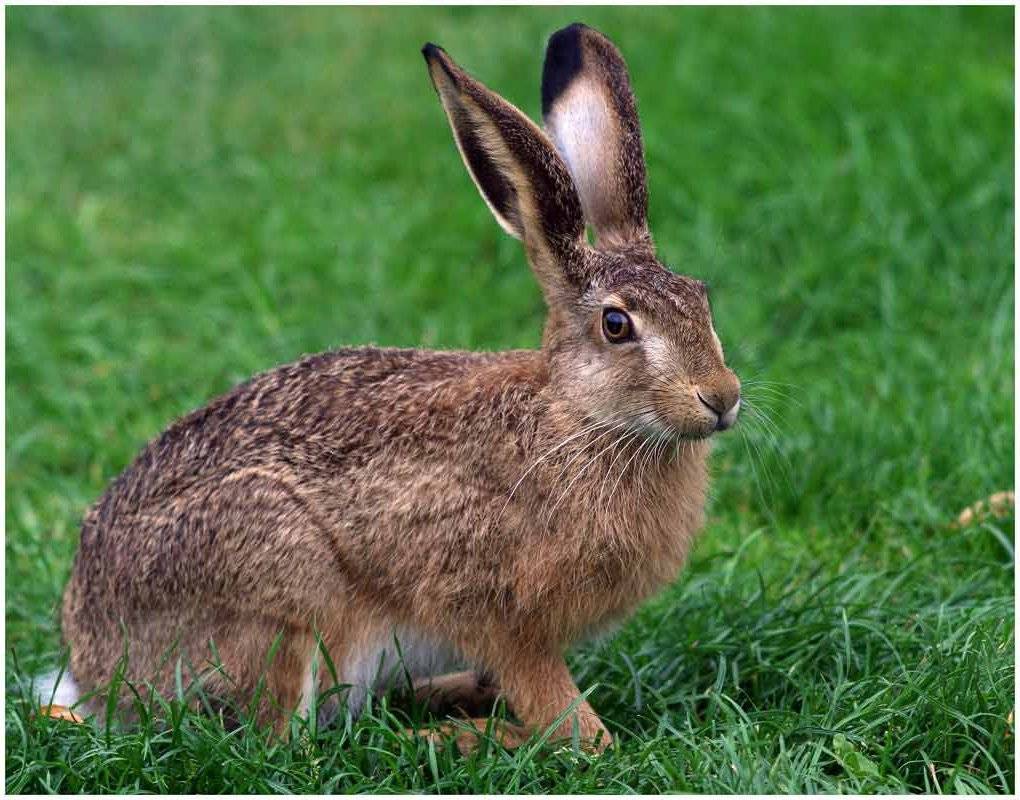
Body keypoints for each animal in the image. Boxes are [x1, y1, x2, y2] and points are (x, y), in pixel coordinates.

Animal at [48, 22, 741, 753]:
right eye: (616, 325)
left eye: (701, 298)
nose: (721, 398)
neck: (576, 418)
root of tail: (94, 670)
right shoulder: (495, 610)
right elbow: (566, 717)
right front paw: (570, 734)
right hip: (280, 586)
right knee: (289, 743)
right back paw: (453, 735)